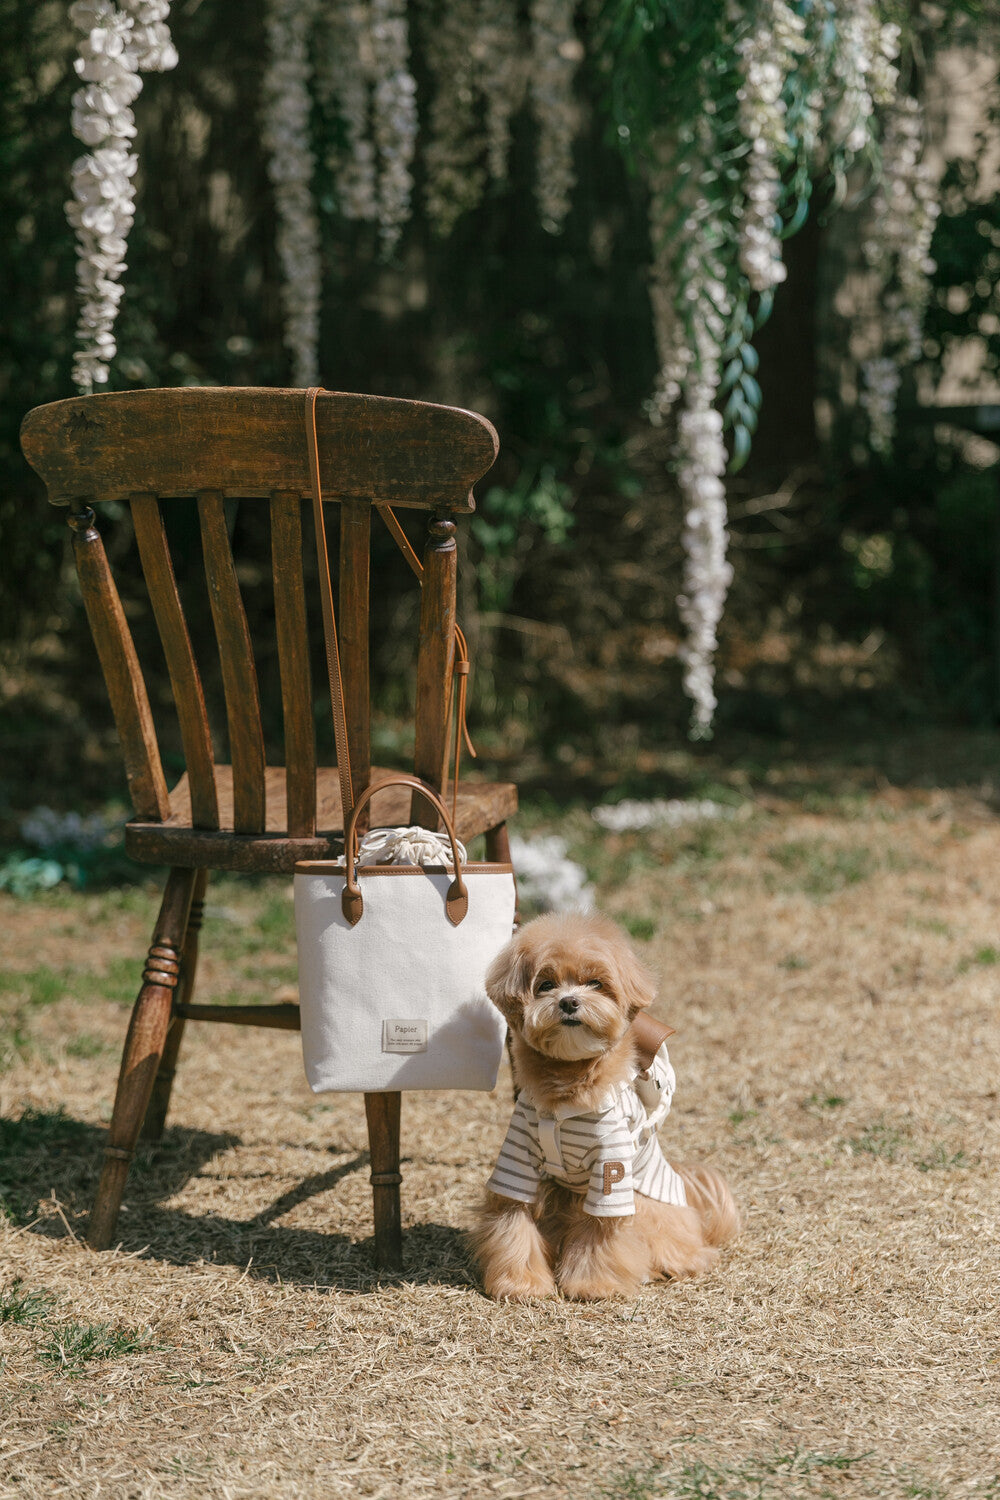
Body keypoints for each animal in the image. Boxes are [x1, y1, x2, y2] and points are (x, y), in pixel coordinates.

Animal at [473, 906, 740, 1296]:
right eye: (546, 985)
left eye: (596, 983)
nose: (569, 1001)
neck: (567, 1087)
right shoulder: (518, 1160)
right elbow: (514, 1220)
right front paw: (521, 1284)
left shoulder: (610, 1170)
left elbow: (600, 1229)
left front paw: (592, 1284)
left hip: (651, 1207)